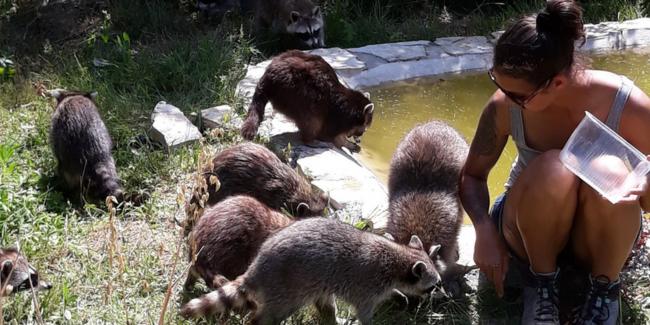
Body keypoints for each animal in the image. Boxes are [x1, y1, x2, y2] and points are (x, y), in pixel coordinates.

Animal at [180, 216, 438, 322]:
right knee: (272, 314)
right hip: (287, 286)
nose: (436, 295)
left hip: (315, 284)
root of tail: (257, 267)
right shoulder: (366, 284)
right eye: (434, 285)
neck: (400, 256)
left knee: (326, 305)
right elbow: (364, 311)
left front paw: (399, 295)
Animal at [238, 49, 372, 153]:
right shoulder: (337, 114)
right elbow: (330, 133)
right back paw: (311, 140)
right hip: (297, 90)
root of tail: (268, 77)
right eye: (364, 129)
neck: (353, 105)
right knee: (312, 117)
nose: (359, 140)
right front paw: (346, 142)